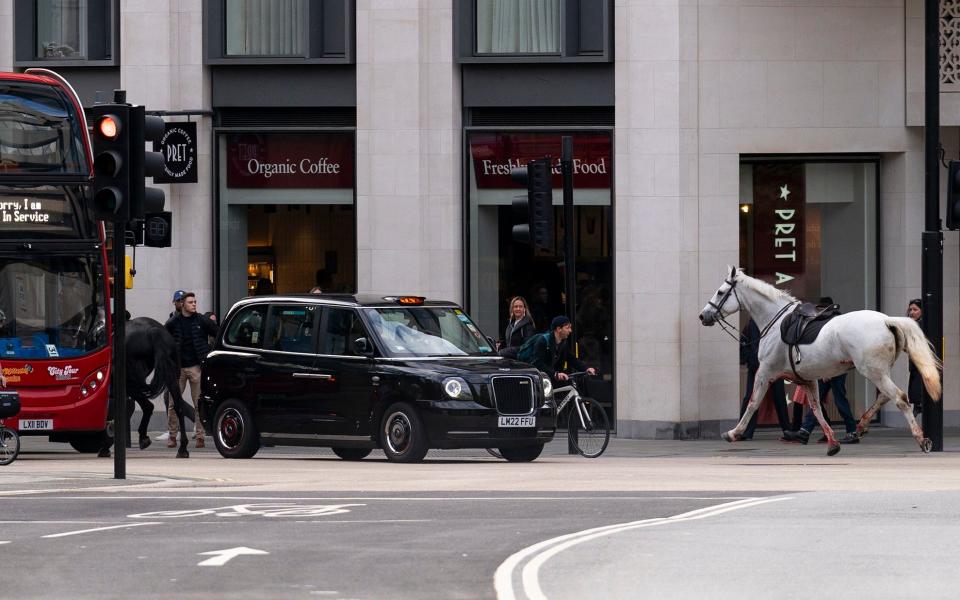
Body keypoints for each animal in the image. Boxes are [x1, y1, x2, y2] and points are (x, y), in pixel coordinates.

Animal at [100, 316, 194, 458]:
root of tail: (154, 331)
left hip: (130, 382)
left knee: (148, 406)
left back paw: (142, 438)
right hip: (172, 377)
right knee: (178, 406)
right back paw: (182, 448)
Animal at [696, 268, 936, 454]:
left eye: (720, 292)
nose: (703, 315)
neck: (775, 322)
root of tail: (887, 321)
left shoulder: (765, 371)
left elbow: (753, 403)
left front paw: (734, 433)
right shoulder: (807, 379)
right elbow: (816, 408)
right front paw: (832, 443)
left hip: (873, 371)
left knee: (900, 398)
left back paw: (920, 438)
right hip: (879, 371)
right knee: (886, 397)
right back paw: (861, 426)